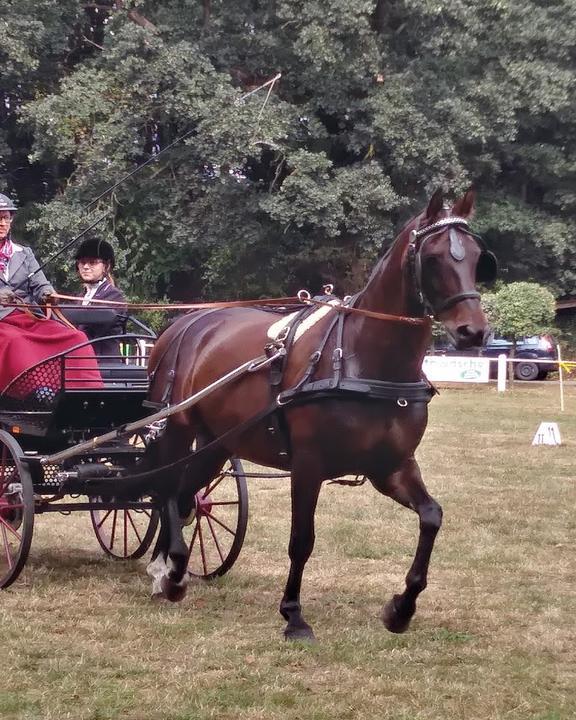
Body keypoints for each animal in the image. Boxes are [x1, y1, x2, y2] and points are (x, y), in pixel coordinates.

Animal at [138, 188, 496, 640]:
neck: (365, 360)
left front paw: (401, 608)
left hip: (215, 443)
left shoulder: (391, 466)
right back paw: (167, 572)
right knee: (167, 490)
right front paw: (293, 614)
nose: (473, 331)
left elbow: (431, 517)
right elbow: (301, 540)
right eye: (432, 258)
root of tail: (185, 324)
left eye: (477, 256)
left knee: (186, 497)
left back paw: (172, 570)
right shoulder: (308, 466)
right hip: (176, 429)